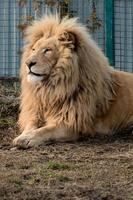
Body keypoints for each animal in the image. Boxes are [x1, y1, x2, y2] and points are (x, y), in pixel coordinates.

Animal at [13, 14, 133, 148]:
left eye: (47, 50)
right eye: (33, 49)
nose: (28, 63)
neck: (49, 90)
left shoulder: (71, 124)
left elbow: (45, 130)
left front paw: (28, 138)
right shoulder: (34, 113)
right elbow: (30, 126)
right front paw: (23, 136)